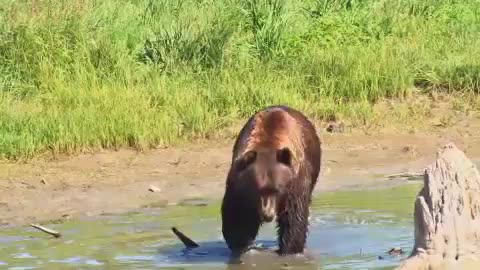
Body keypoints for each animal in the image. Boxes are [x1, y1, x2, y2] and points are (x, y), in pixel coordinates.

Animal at [222, 104, 322, 256]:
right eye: (256, 190)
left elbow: (294, 218)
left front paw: (289, 250)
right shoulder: (238, 184)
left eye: (278, 190)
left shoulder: (295, 183)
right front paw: (242, 245)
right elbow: (237, 215)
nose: (267, 215)